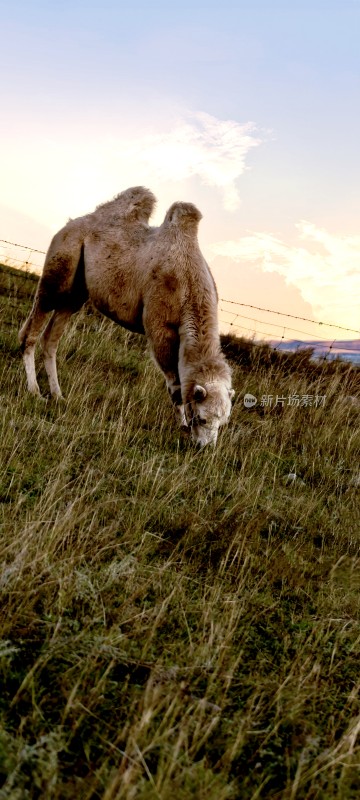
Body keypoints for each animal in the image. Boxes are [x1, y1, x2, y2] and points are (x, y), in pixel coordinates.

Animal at [19, 189, 233, 450]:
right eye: (201, 418)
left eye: (222, 422)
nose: (205, 447)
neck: (189, 283)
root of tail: (71, 224)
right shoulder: (159, 326)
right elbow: (175, 384)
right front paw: (181, 425)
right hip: (61, 264)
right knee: (32, 329)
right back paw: (34, 391)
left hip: (75, 294)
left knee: (51, 339)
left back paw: (58, 395)